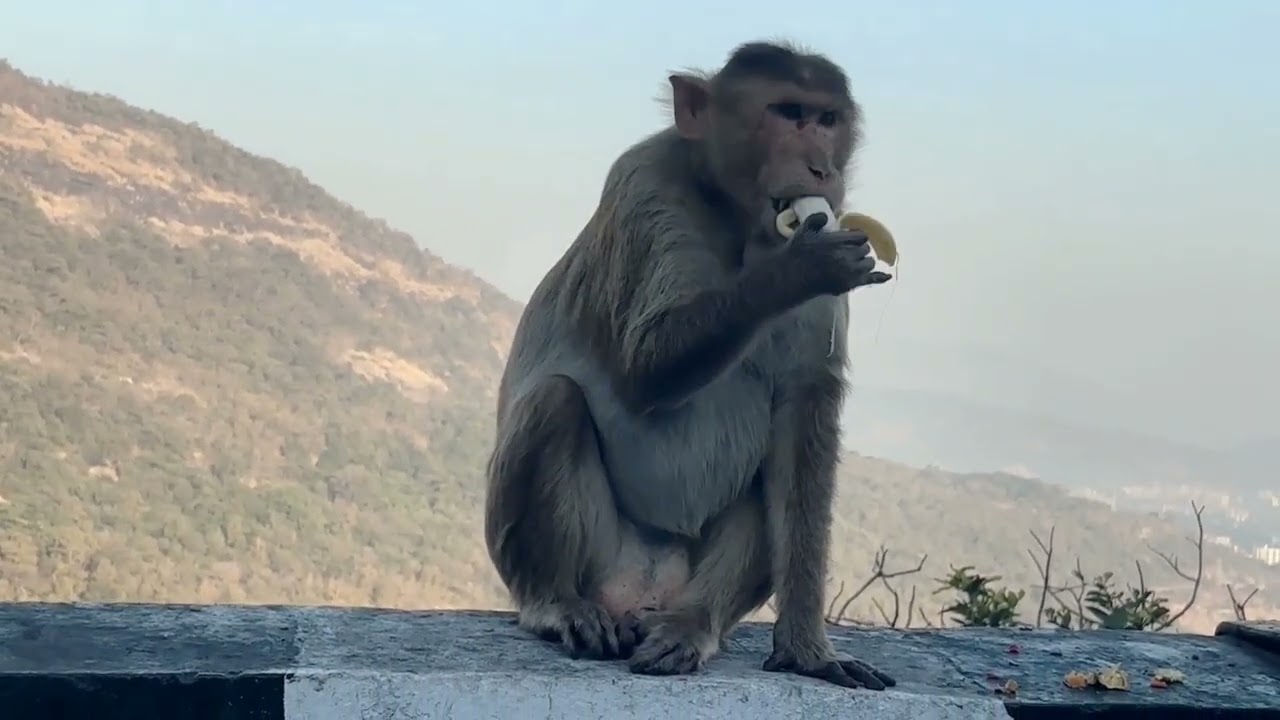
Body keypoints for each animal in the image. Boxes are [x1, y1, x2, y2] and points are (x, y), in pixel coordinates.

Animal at [483, 40, 896, 691]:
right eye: (787, 113)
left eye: (827, 120)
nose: (820, 170)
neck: (738, 221)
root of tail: (641, 591)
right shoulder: (644, 185)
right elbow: (643, 368)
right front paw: (797, 269)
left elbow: (805, 412)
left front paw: (808, 650)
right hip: (598, 557)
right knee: (555, 400)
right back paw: (556, 602)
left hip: (686, 583)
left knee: (771, 474)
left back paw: (690, 625)